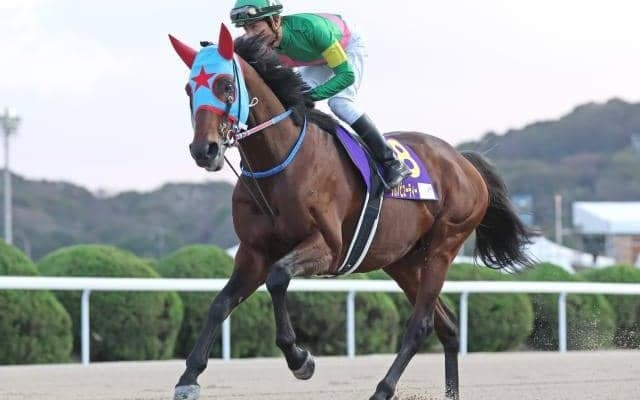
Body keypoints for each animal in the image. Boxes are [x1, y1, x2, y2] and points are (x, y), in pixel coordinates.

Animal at [168, 24, 533, 400]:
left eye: (226, 85)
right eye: (189, 89)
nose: (204, 150)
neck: (281, 162)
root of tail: (463, 161)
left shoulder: (328, 247)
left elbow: (278, 278)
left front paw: (300, 359)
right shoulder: (253, 253)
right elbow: (219, 304)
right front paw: (188, 378)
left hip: (444, 247)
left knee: (421, 324)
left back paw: (382, 389)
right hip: (402, 261)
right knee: (446, 326)